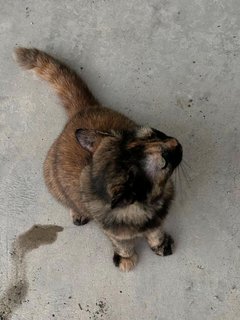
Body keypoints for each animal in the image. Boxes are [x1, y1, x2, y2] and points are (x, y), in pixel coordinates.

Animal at [14, 47, 183, 272]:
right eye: (164, 161)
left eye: (155, 133)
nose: (176, 142)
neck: (146, 206)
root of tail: (82, 110)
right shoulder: (111, 231)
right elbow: (122, 243)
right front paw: (126, 258)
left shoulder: (157, 221)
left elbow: (155, 232)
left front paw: (160, 244)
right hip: (52, 180)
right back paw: (78, 213)